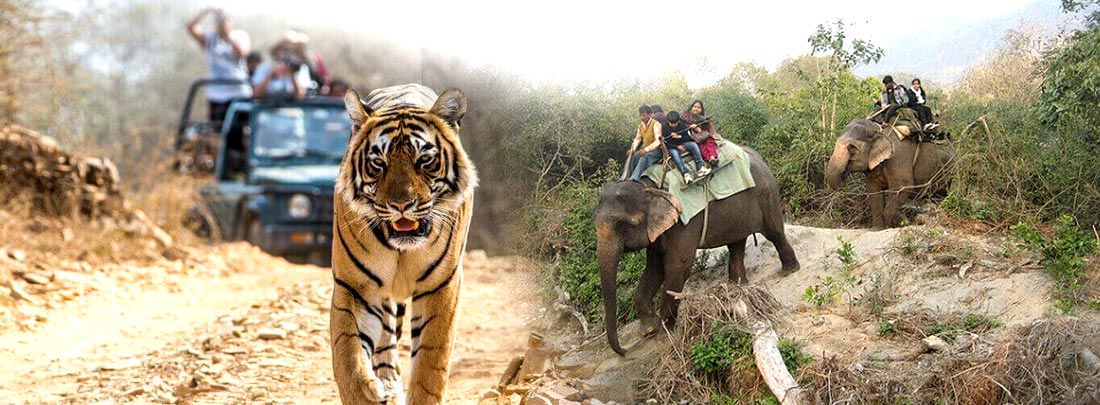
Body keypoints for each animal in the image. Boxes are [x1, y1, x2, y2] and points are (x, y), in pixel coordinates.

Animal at [330, 83, 477, 404]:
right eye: (378, 164)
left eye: (425, 160)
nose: (401, 205)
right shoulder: (354, 286)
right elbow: (347, 356)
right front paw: (364, 393)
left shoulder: (441, 286)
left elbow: (431, 364)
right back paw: (386, 387)